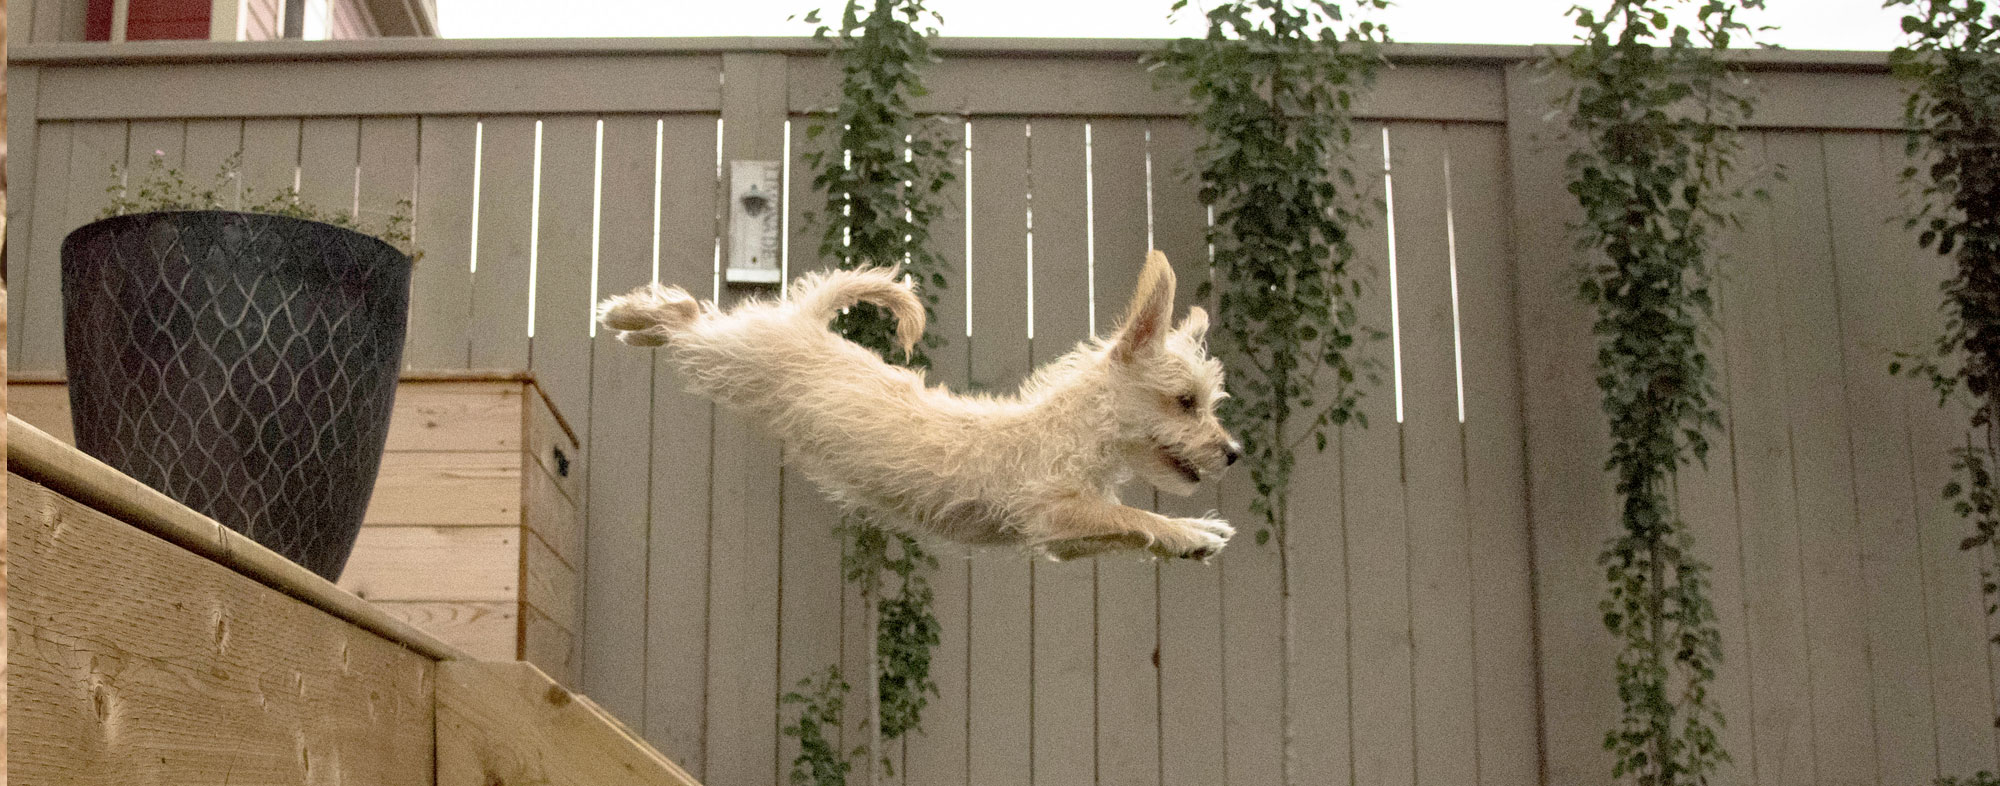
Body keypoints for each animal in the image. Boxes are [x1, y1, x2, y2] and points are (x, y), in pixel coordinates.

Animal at [592, 250, 1232, 556]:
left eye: (1208, 402)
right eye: (1185, 402)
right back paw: (628, 314)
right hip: (730, 358)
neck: (1074, 432)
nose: (1234, 452)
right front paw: (1190, 533)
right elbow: (1136, 517)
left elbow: (1135, 527)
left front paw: (1193, 534)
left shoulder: (1060, 541)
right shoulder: (1052, 512)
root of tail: (806, 322)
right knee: (687, 316)